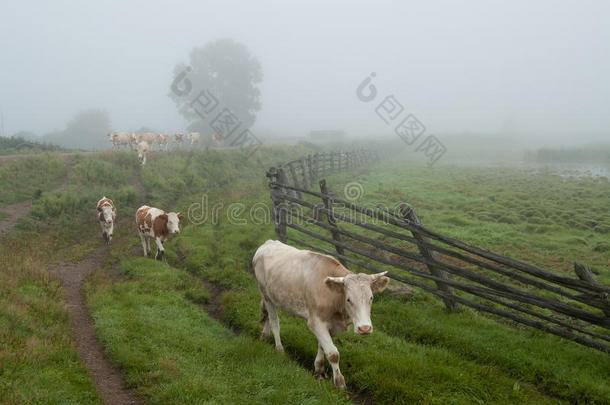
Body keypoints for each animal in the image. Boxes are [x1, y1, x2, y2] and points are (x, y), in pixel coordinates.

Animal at [253, 240, 390, 388]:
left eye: (371, 297)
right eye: (348, 299)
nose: (364, 328)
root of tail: (269, 243)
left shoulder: (329, 323)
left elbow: (323, 346)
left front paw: (319, 369)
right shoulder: (315, 322)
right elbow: (333, 353)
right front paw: (340, 383)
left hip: (272, 297)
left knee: (268, 316)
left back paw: (264, 336)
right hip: (265, 293)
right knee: (274, 321)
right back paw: (279, 349)